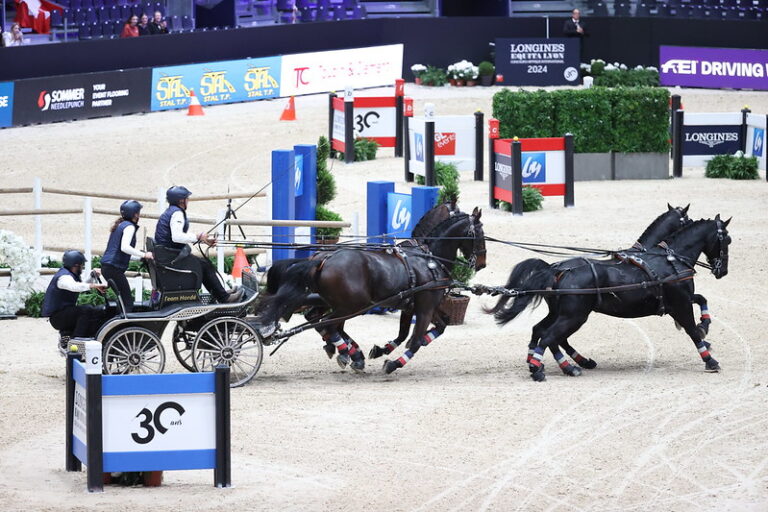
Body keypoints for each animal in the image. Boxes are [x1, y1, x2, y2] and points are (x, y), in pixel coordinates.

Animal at [258, 202, 486, 374]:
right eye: (481, 232)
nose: (482, 263)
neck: (427, 257)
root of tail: (324, 258)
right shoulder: (425, 307)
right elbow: (415, 340)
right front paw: (392, 363)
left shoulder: (413, 306)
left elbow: (427, 329)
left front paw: (382, 350)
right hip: (352, 305)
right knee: (327, 325)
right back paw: (349, 353)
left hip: (338, 303)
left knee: (322, 322)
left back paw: (347, 351)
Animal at [492, 215, 732, 380]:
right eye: (727, 240)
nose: (723, 271)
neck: (670, 260)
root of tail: (556, 269)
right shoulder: (681, 304)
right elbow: (693, 331)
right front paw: (710, 360)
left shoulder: (680, 301)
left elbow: (701, 300)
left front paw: (705, 324)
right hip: (574, 316)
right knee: (550, 337)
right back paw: (553, 368)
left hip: (562, 313)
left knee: (542, 331)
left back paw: (546, 363)